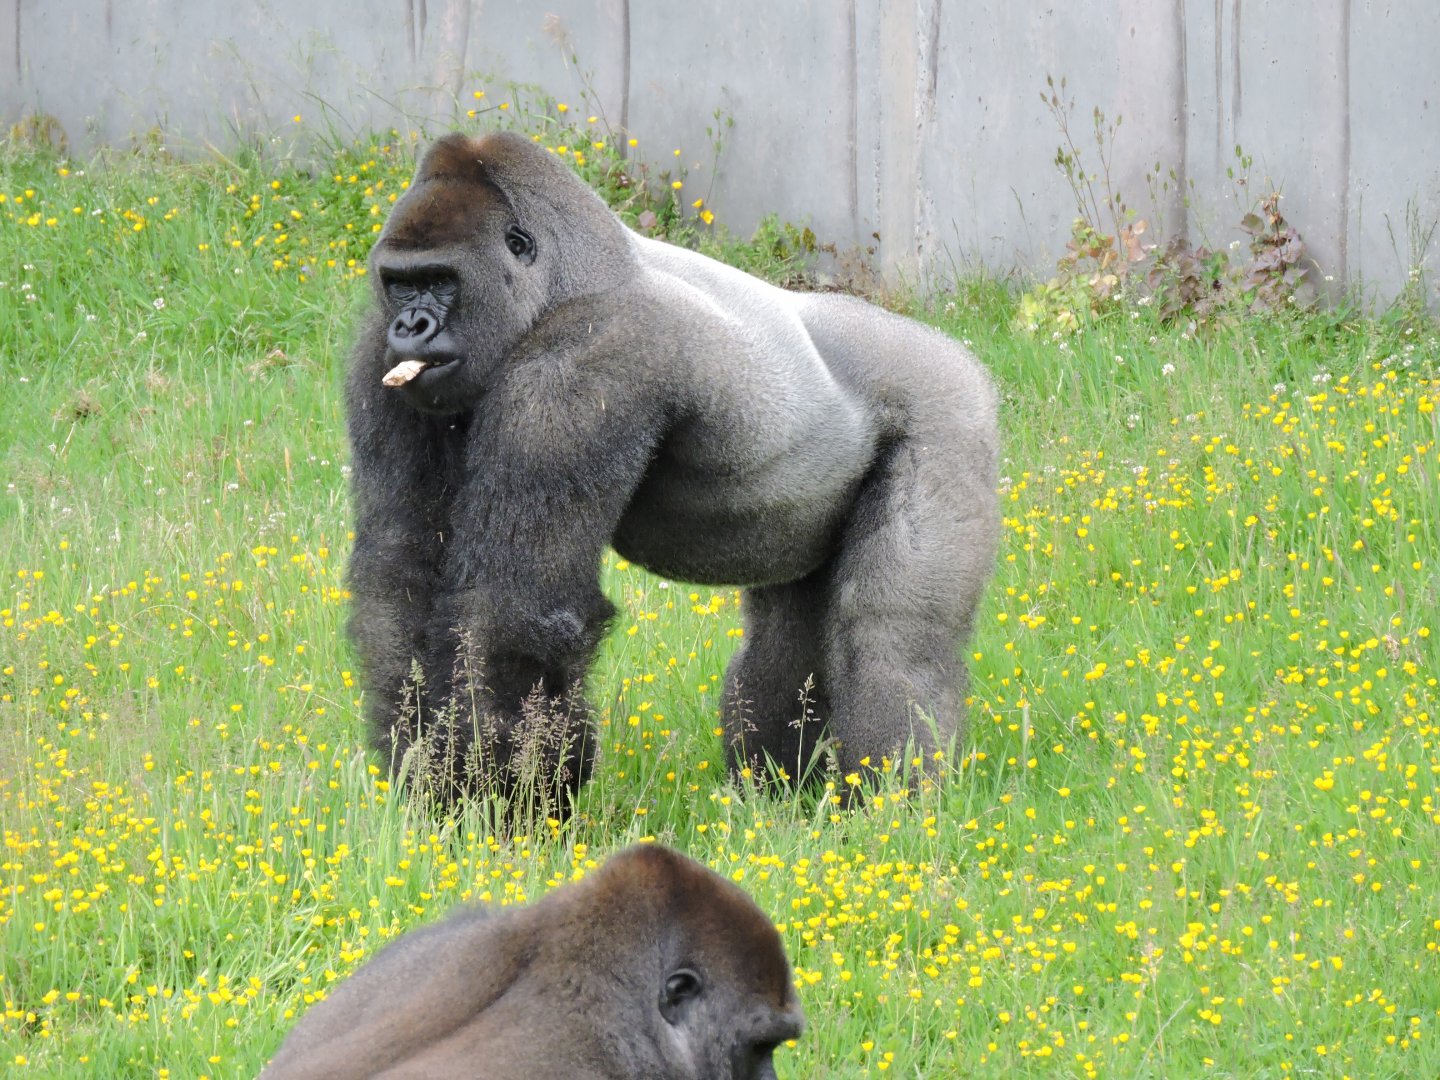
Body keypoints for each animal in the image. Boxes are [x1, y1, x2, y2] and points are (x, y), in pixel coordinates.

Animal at [345, 130, 999, 805]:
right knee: (786, 636)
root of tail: (954, 352)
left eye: (442, 281)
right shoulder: (377, 360)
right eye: (400, 284)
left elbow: (513, 607)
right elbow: (402, 570)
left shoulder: (583, 359)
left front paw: (499, 797)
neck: (562, 280)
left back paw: (894, 804)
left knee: (894, 635)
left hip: (949, 409)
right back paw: (783, 795)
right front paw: (424, 773)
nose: (410, 326)